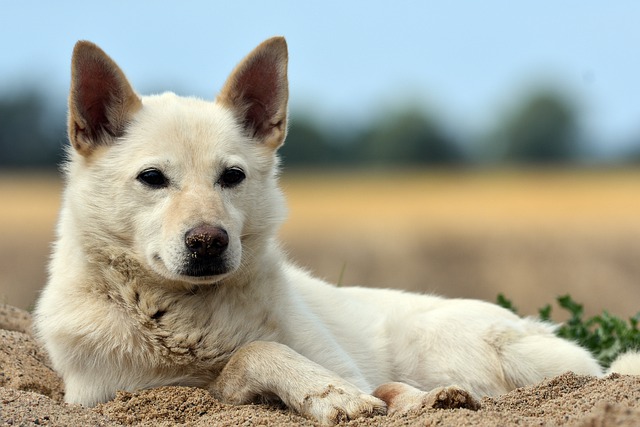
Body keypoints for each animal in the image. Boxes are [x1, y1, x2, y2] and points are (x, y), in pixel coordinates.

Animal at [33, 37, 640, 427]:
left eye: (232, 176)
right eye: (152, 178)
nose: (209, 241)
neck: (193, 314)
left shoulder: (334, 360)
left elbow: (263, 352)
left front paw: (336, 394)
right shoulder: (117, 394)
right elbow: (247, 360)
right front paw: (327, 395)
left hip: (473, 348)